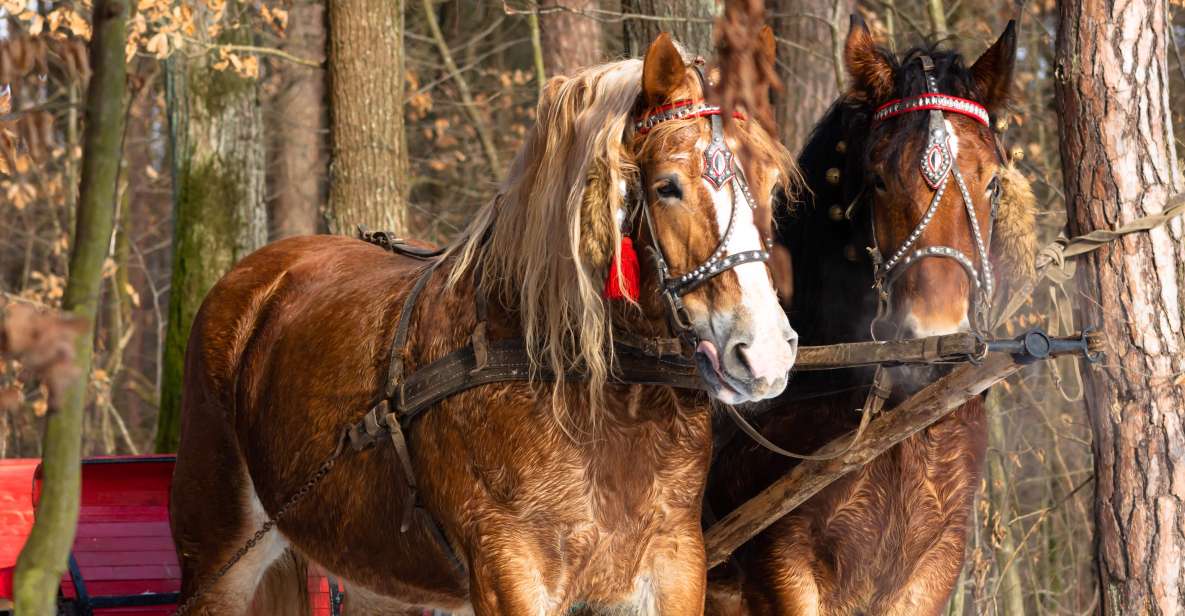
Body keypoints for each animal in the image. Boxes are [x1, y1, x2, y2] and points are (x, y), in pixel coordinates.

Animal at [167, 32, 796, 616]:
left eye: (770, 184)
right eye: (668, 186)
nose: (765, 352)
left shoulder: (674, 562)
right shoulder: (507, 569)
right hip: (219, 558)